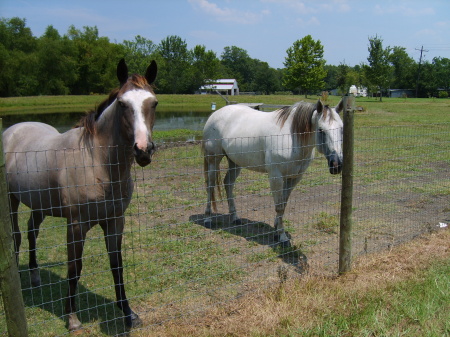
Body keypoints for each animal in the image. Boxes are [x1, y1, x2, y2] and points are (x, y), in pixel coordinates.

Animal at [3, 58, 157, 330]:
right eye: (122, 104)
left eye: (154, 103)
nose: (143, 150)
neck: (97, 162)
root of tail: (12, 130)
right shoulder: (76, 225)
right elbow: (74, 267)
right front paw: (72, 318)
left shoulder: (115, 221)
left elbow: (117, 265)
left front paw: (128, 313)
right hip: (11, 200)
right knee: (17, 236)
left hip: (39, 204)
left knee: (32, 231)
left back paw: (34, 277)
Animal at [203, 98, 344, 245]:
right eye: (321, 130)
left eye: (342, 129)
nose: (336, 165)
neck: (292, 137)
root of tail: (216, 114)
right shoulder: (276, 177)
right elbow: (279, 206)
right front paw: (282, 237)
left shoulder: (294, 178)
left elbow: (284, 203)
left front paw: (277, 227)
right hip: (213, 160)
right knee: (210, 186)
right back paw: (208, 218)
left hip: (235, 163)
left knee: (228, 183)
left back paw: (235, 217)